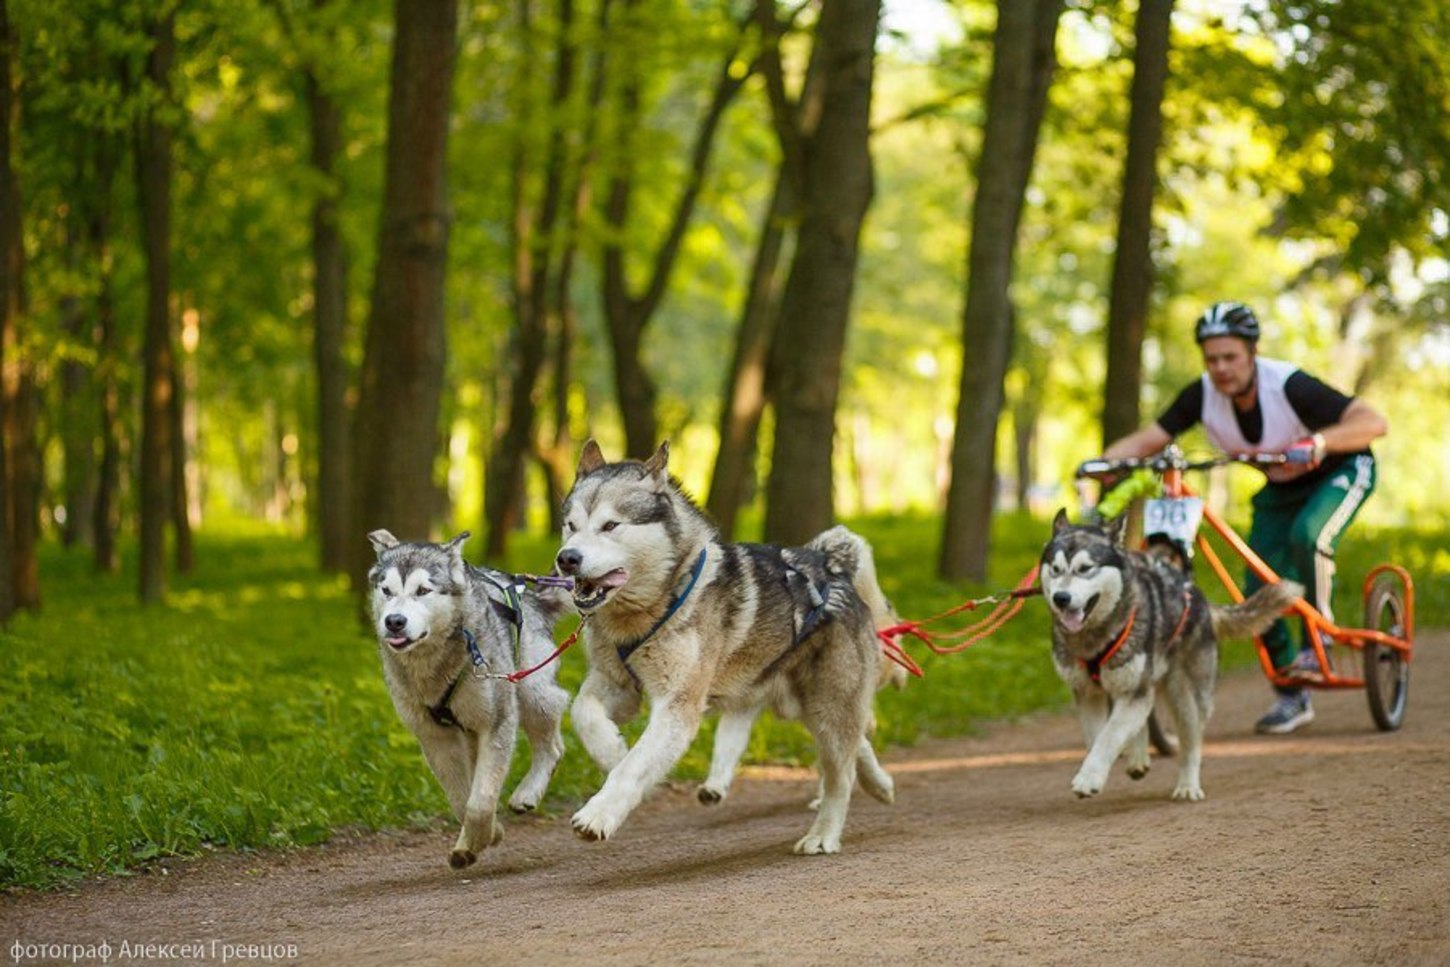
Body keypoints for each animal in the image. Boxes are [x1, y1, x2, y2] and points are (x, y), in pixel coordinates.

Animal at [365, 530, 568, 869]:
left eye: (423, 590)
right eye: (386, 590)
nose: (394, 621)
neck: (431, 665)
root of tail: (528, 595)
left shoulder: (497, 722)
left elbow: (480, 801)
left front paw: (483, 834)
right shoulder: (435, 737)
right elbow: (462, 799)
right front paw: (482, 837)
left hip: (531, 690)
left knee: (552, 744)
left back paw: (528, 792)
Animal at [553, 440, 893, 852]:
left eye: (610, 525)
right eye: (571, 526)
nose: (567, 559)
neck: (655, 604)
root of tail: (828, 564)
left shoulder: (678, 707)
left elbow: (633, 768)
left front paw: (599, 813)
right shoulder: (617, 683)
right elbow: (583, 713)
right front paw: (612, 750)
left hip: (828, 704)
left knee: (839, 775)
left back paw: (823, 834)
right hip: (801, 704)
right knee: (854, 746)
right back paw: (880, 784)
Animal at [1044, 513, 1305, 800]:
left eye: (1085, 568)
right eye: (1055, 569)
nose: (1061, 598)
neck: (1095, 638)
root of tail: (1199, 597)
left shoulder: (1134, 690)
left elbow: (1109, 735)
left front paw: (1088, 778)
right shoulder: (1089, 693)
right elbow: (1098, 736)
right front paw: (1097, 768)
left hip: (1185, 695)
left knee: (1190, 745)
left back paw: (1188, 785)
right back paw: (1139, 756)